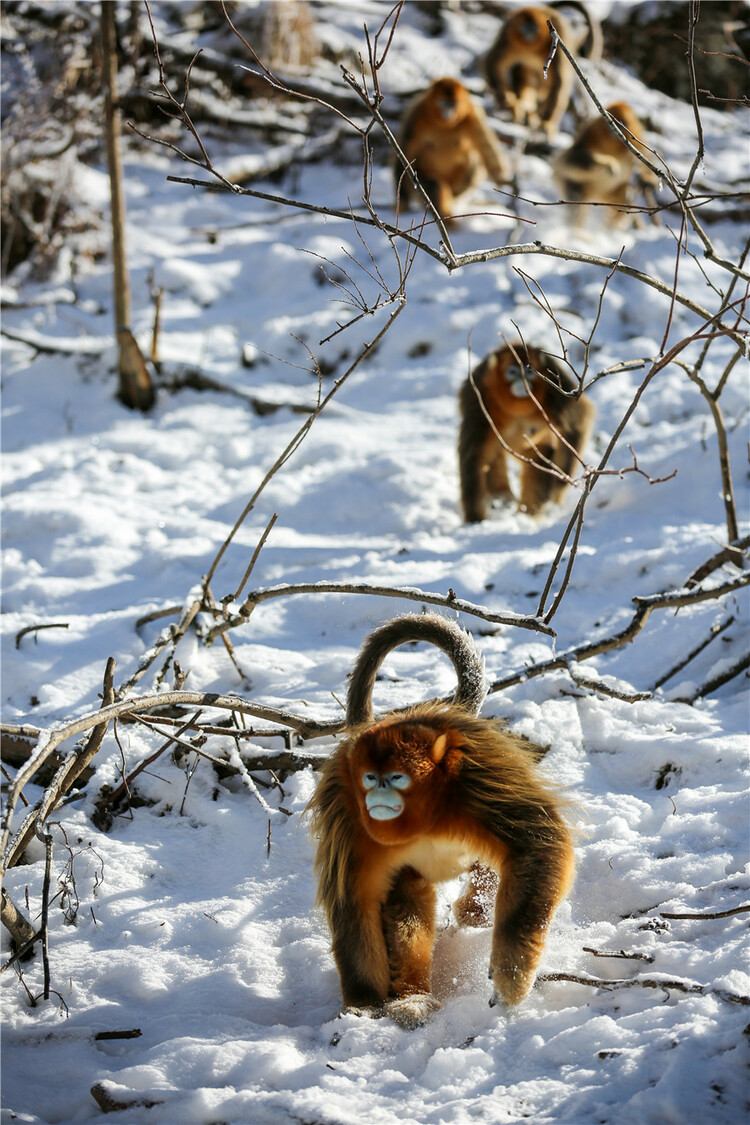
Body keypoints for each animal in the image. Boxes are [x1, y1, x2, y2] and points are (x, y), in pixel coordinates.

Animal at [305, 616, 575, 1030]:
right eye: (370, 778)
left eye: (396, 778)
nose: (378, 795)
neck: (427, 816)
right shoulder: (349, 816)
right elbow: (355, 903)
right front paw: (364, 1003)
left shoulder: (478, 782)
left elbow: (537, 843)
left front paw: (511, 977)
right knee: (407, 898)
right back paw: (413, 998)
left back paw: (476, 911)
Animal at [395, 76, 512, 219]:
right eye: (444, 103)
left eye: (453, 104)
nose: (448, 112)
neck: (444, 125)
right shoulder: (416, 114)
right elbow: (405, 152)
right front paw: (402, 202)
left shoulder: (473, 114)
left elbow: (487, 148)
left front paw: (502, 180)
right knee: (434, 184)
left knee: (473, 161)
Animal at [454, 339, 593, 519]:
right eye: (513, 372)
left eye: (529, 372)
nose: (522, 379)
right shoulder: (478, 397)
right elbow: (474, 454)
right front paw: (475, 518)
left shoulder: (555, 387)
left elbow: (580, 421)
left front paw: (559, 485)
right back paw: (503, 498)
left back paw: (529, 513)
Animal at [483, 1, 602, 137]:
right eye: (524, 27)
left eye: (533, 27)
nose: (528, 33)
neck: (533, 46)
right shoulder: (508, 34)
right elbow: (493, 63)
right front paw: (510, 104)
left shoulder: (559, 35)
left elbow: (560, 81)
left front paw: (547, 123)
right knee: (524, 73)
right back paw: (528, 112)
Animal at [555, 101, 661, 230]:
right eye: (613, 122)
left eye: (622, 124)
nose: (614, 131)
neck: (615, 145)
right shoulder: (590, 132)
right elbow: (572, 157)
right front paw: (609, 164)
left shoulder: (637, 141)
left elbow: (646, 162)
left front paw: (647, 182)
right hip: (573, 184)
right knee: (577, 200)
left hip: (611, 192)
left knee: (625, 204)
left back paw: (610, 228)